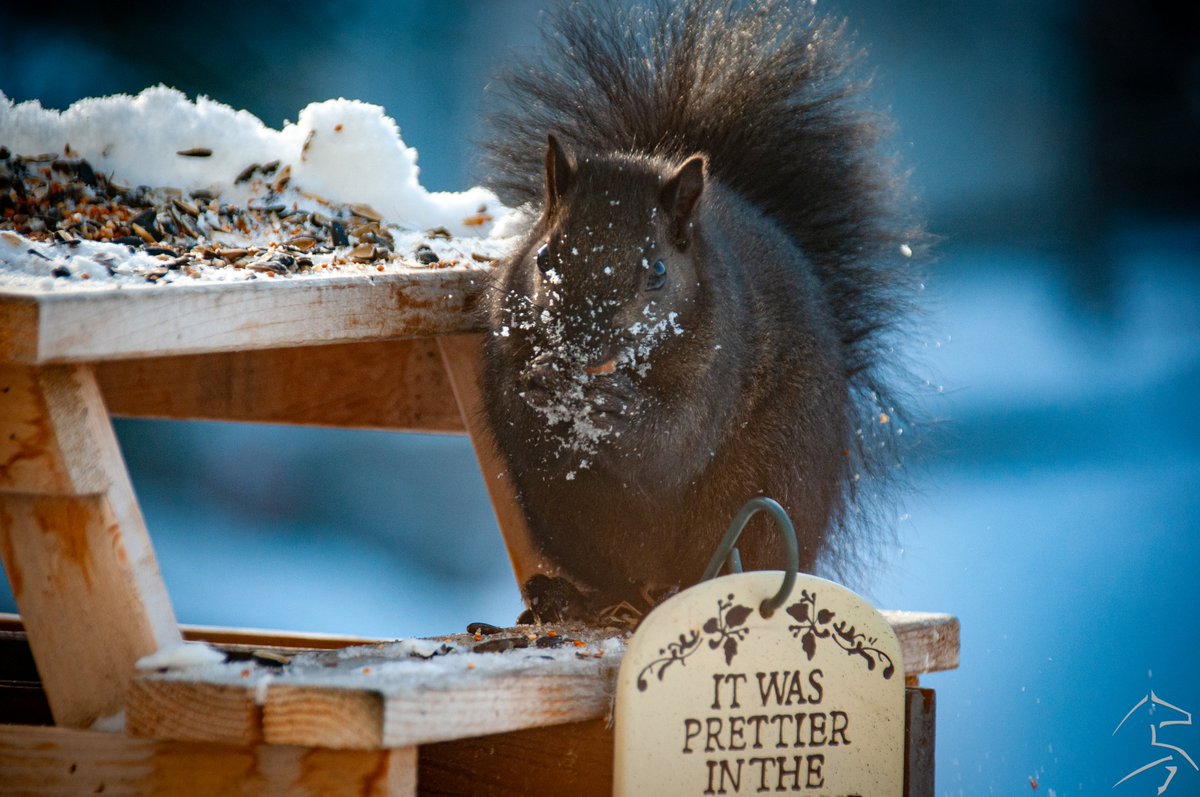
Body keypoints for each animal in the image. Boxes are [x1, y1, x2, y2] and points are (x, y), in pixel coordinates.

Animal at [478, 0, 922, 622]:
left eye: (658, 273)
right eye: (544, 258)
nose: (579, 343)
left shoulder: (720, 362)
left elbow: (674, 447)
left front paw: (618, 410)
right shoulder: (502, 336)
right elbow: (517, 409)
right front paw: (537, 385)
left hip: (768, 490)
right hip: (566, 523)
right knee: (612, 578)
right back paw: (571, 598)